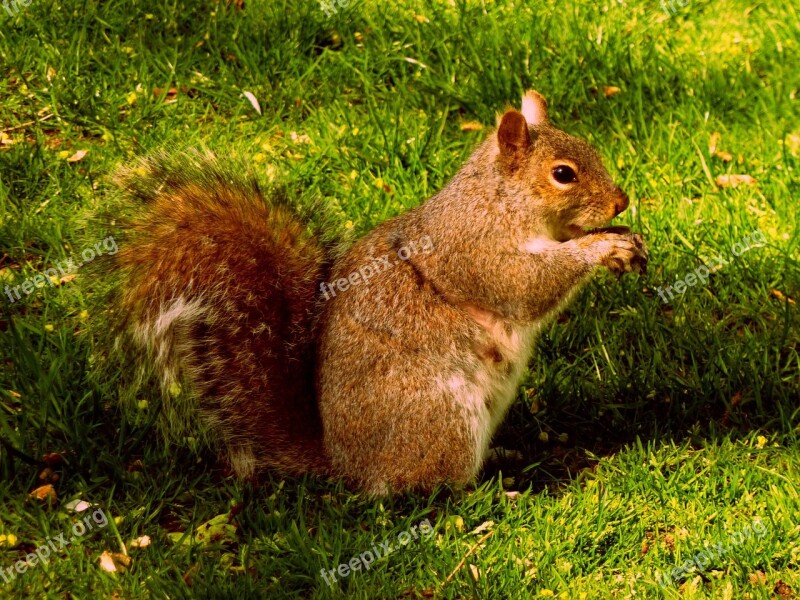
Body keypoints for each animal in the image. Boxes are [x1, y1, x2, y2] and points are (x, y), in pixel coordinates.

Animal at [101, 88, 648, 492]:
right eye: (562, 174)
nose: (621, 202)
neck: (498, 200)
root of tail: (346, 465)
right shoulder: (478, 252)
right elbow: (526, 287)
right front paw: (602, 247)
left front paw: (621, 238)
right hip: (441, 417)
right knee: (428, 486)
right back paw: (495, 488)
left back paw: (503, 454)